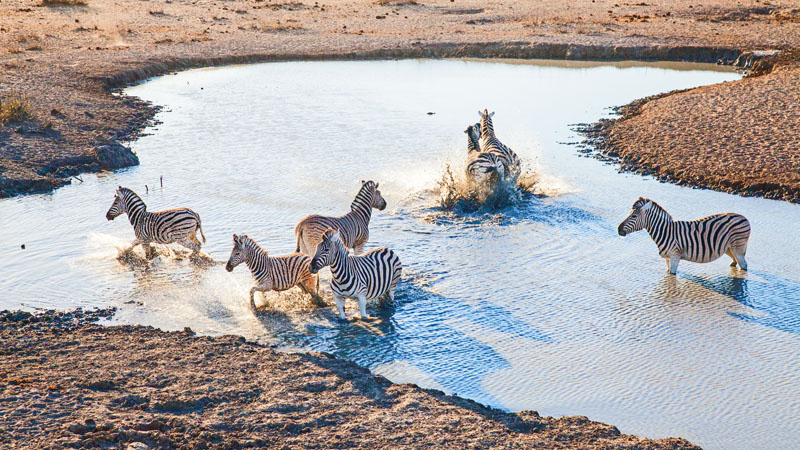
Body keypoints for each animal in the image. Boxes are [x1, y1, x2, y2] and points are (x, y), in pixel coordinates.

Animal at [620, 197, 752, 274]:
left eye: (634, 216)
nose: (618, 230)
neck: (665, 231)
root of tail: (744, 217)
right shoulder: (668, 259)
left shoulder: (675, 256)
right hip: (729, 248)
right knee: (735, 262)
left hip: (738, 245)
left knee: (744, 265)